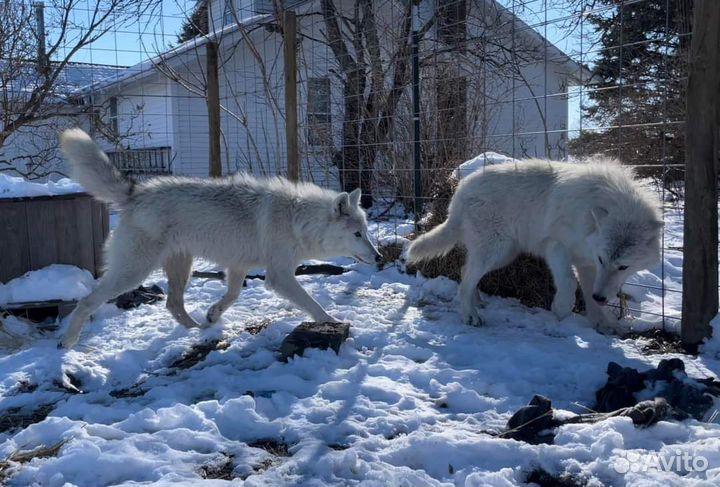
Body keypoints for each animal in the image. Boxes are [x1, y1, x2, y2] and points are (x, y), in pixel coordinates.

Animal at [57, 127, 382, 348]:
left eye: (366, 232)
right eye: (357, 234)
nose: (379, 257)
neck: (297, 219)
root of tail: (136, 192)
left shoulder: (238, 266)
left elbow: (233, 294)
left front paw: (213, 315)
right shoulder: (279, 276)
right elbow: (313, 304)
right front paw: (333, 322)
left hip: (181, 267)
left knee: (173, 304)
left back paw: (199, 330)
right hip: (134, 272)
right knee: (87, 301)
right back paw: (67, 342)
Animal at [408, 157, 660, 332]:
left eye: (623, 267)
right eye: (603, 260)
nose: (602, 297)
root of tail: (460, 190)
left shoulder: (586, 262)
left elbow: (589, 293)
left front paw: (601, 323)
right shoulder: (557, 248)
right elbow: (569, 283)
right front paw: (560, 311)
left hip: (503, 254)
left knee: (464, 272)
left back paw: (477, 303)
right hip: (496, 250)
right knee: (465, 281)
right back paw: (470, 315)